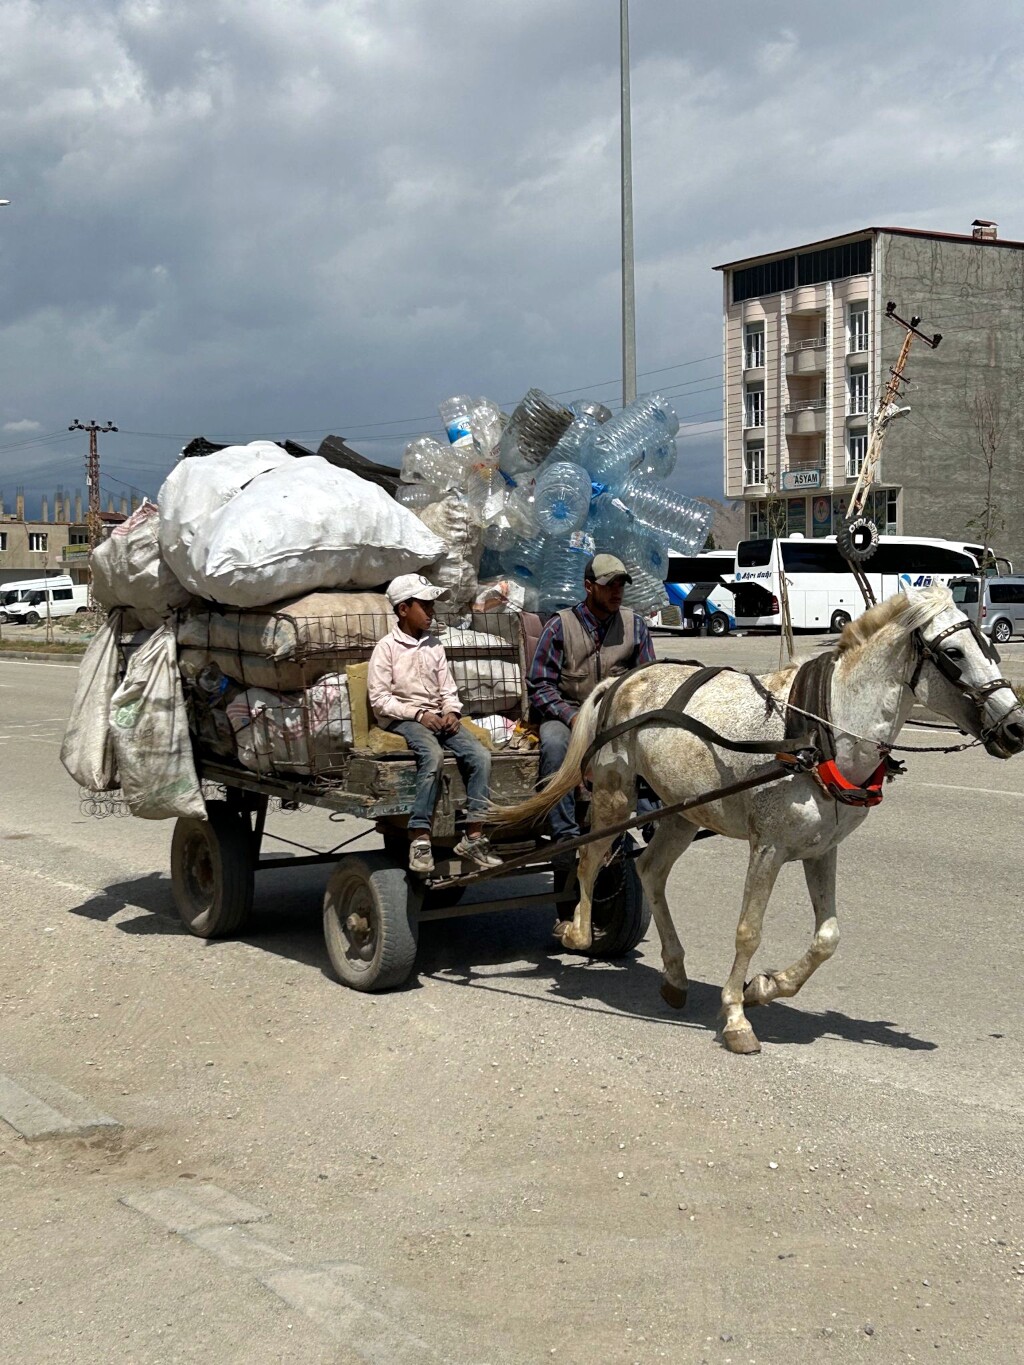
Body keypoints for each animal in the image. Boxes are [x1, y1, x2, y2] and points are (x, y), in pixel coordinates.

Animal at [502, 586, 1024, 1053]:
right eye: (954, 653)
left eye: (991, 647)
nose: (1016, 727)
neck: (819, 732)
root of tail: (620, 680)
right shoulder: (768, 847)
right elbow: (747, 931)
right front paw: (736, 1015)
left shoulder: (822, 849)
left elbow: (828, 937)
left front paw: (764, 987)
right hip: (614, 793)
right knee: (590, 858)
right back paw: (578, 930)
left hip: (684, 811)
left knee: (650, 869)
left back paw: (674, 972)